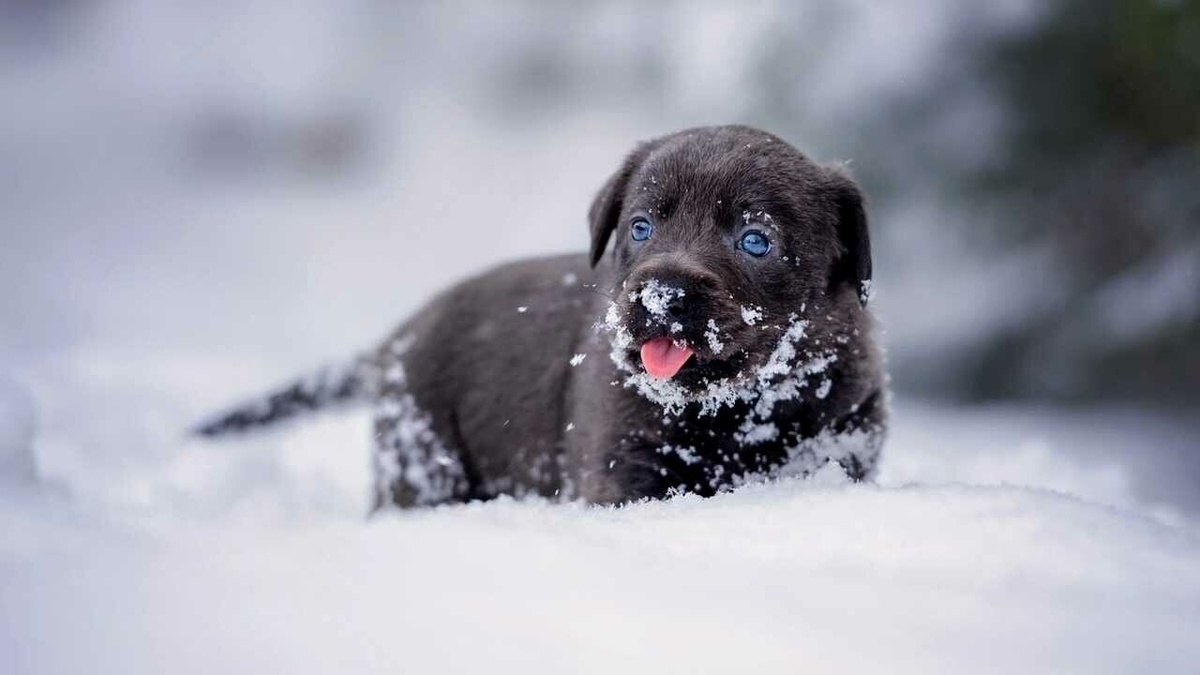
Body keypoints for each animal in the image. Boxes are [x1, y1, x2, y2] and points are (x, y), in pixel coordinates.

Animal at [196, 124, 888, 504]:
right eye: (640, 227)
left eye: (755, 240)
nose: (659, 295)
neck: (736, 412)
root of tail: (394, 341)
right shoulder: (619, 466)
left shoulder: (845, 437)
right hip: (422, 454)